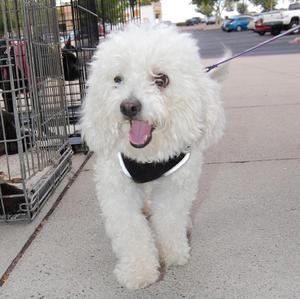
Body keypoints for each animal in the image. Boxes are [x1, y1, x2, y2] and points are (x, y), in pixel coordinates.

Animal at [81, 24, 226, 290]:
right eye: (117, 79)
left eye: (161, 79)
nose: (128, 107)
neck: (147, 156)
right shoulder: (117, 188)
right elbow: (131, 229)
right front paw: (138, 271)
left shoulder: (177, 184)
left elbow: (169, 219)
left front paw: (171, 252)